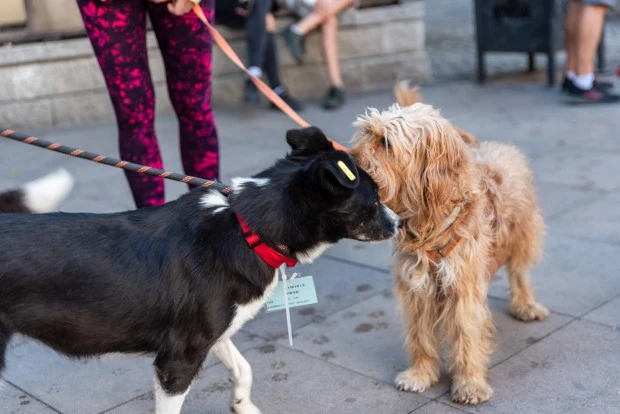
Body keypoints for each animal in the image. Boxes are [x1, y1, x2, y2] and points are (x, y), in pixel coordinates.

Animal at [0, 128, 402, 414]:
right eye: (374, 198)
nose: (400, 224)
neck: (247, 227)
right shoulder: (177, 360)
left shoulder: (211, 334)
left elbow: (243, 369)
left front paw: (243, 406)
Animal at [348, 81, 548, 404]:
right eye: (365, 133)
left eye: (386, 143)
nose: (346, 160)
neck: (429, 224)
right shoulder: (418, 290)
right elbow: (420, 336)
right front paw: (420, 374)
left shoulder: (463, 290)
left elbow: (467, 336)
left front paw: (470, 383)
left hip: (524, 233)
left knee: (520, 273)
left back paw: (526, 304)